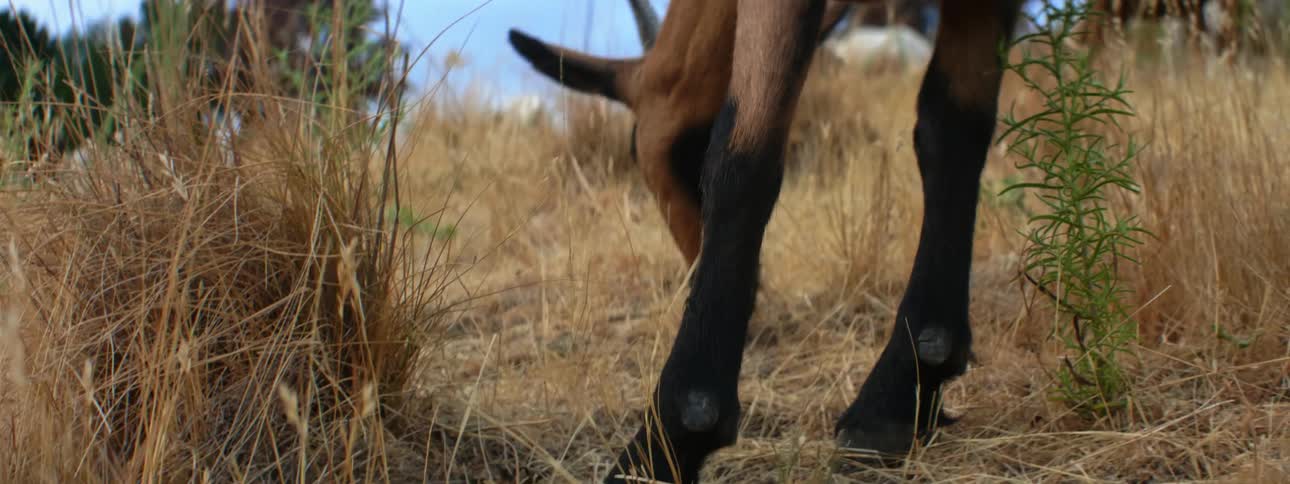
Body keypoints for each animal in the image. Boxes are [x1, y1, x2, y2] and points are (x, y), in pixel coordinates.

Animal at [509, 1, 1022, 482]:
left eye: (641, 151)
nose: (695, 263)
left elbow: (742, 150)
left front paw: (670, 438)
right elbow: (951, 123)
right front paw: (904, 386)